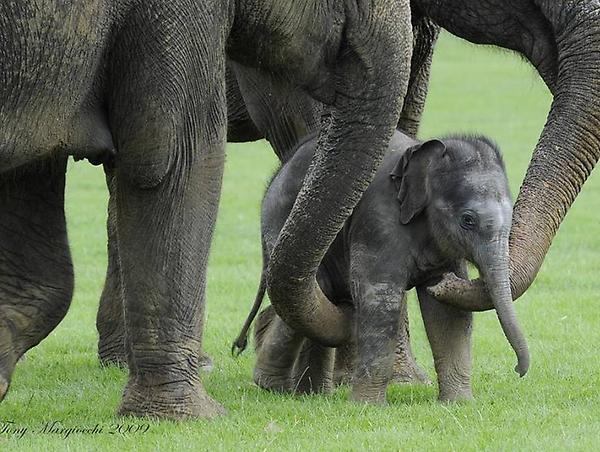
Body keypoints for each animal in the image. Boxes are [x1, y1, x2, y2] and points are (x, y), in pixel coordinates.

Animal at [232, 130, 528, 402]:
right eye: (468, 220)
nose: (518, 370)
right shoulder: (379, 221)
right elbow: (380, 296)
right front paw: (367, 406)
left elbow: (448, 314)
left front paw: (458, 404)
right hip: (281, 223)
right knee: (313, 289)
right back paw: (272, 384)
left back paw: (312, 394)